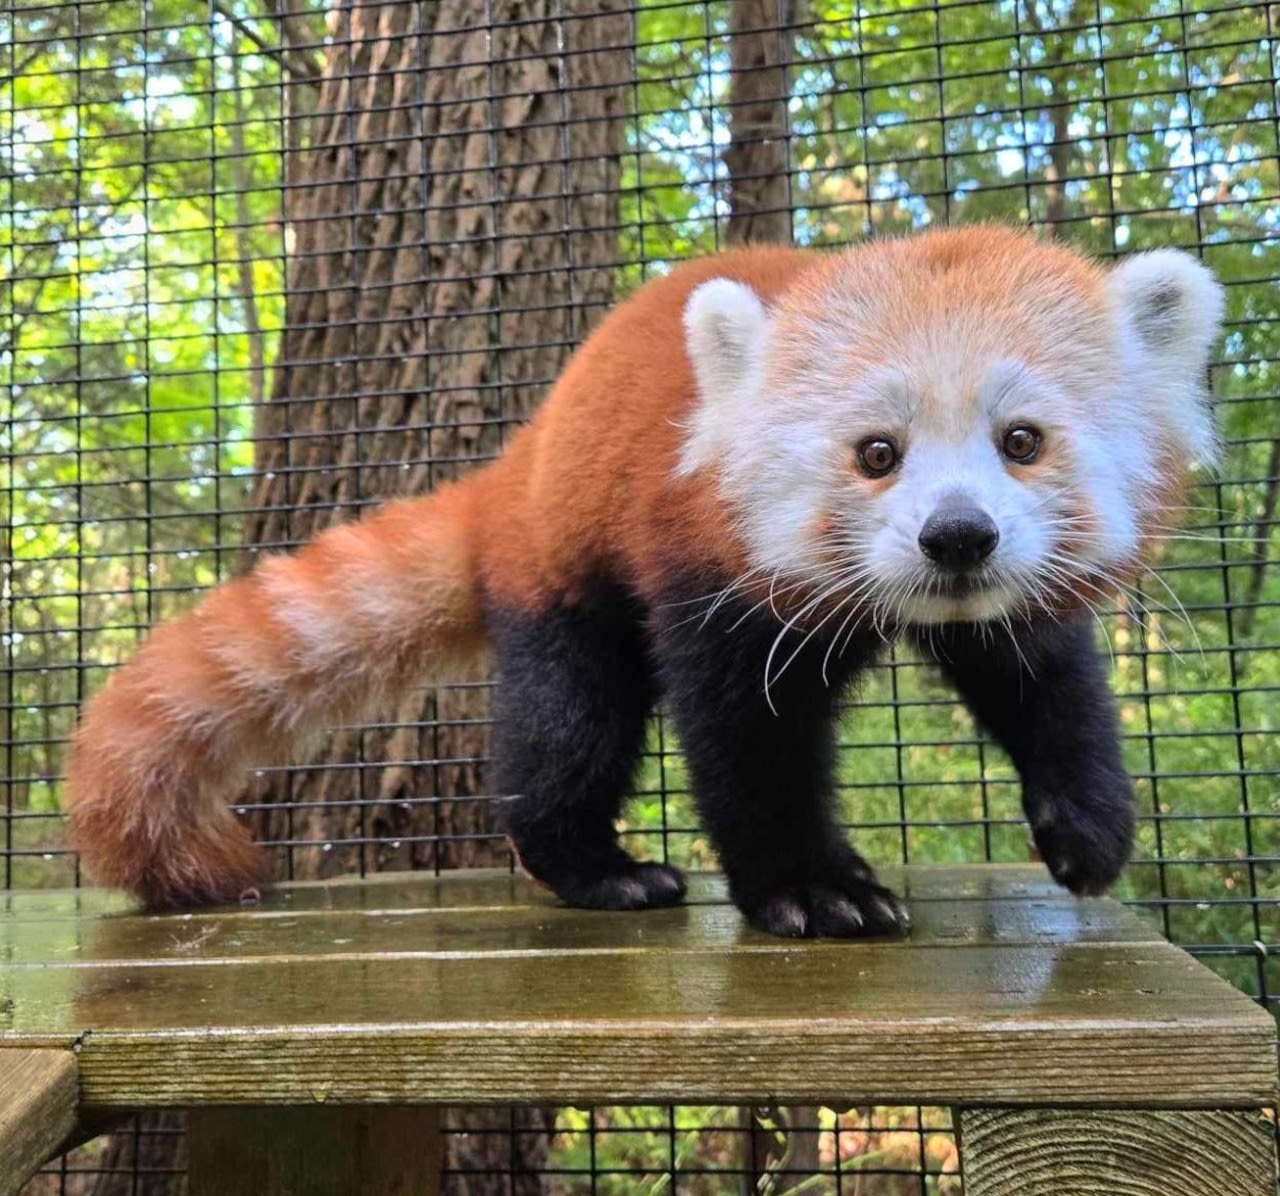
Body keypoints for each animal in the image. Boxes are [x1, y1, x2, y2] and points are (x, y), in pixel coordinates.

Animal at [60, 225, 1218, 937]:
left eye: (1021, 440)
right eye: (875, 453)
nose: (957, 537)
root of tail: (515, 463)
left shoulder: (1011, 604)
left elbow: (1045, 683)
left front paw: (1087, 828)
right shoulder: (703, 569)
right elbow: (747, 742)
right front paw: (813, 888)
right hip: (562, 573)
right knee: (568, 726)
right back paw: (592, 866)